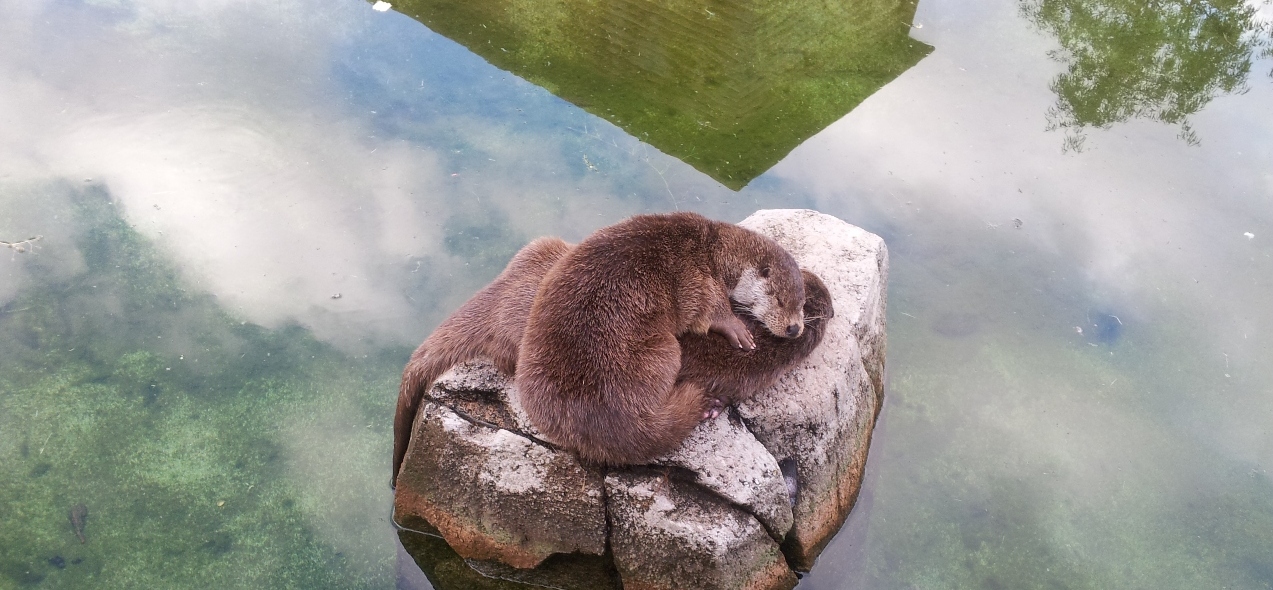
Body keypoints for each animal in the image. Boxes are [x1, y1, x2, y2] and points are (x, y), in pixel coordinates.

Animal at [514, 212, 804, 466]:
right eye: (780, 300)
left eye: (801, 304)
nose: (794, 328)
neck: (716, 252)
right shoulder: (699, 276)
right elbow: (710, 308)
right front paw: (738, 328)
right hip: (663, 350)